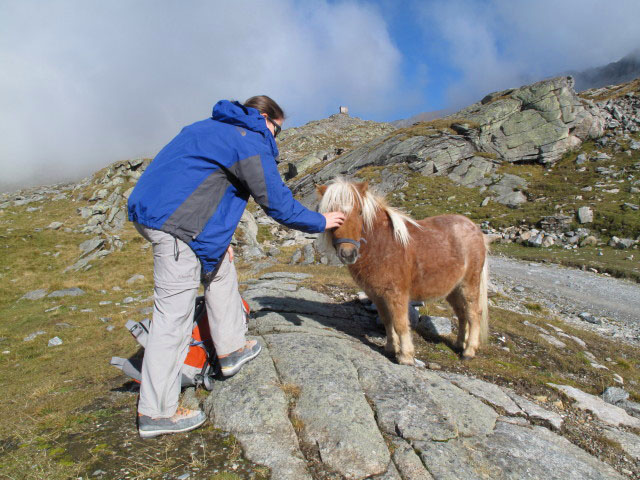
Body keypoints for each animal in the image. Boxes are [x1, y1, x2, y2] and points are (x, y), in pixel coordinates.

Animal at [316, 179, 490, 364]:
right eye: (332, 214)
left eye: (360, 212)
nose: (348, 254)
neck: (382, 244)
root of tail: (474, 228)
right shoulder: (377, 295)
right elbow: (387, 321)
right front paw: (391, 348)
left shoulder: (396, 293)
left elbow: (400, 323)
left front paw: (405, 356)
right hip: (453, 289)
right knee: (462, 314)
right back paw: (459, 345)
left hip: (469, 284)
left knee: (474, 313)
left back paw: (469, 351)